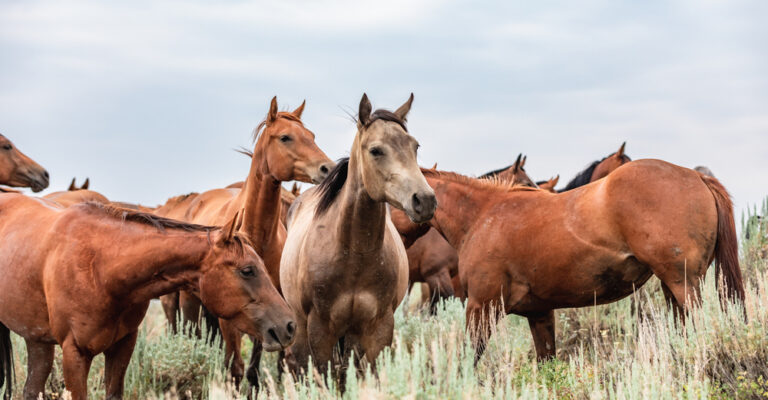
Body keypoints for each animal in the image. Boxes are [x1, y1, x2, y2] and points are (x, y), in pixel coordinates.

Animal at [0, 194, 295, 400]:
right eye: (248, 270)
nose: (289, 326)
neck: (101, 266)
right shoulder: (75, 353)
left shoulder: (123, 345)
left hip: (38, 340)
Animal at [153, 97, 334, 388]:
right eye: (285, 137)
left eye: (312, 135)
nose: (327, 168)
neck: (256, 236)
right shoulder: (231, 317)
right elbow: (235, 367)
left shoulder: (270, 309)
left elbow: (259, 366)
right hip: (187, 304)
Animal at [280, 93, 436, 376]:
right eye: (375, 150)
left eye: (415, 146)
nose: (425, 200)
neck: (354, 253)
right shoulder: (320, 330)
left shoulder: (379, 329)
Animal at [417, 161, 744, 363]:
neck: (484, 216)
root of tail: (697, 176)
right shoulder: (539, 313)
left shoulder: (480, 308)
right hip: (673, 288)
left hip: (683, 286)